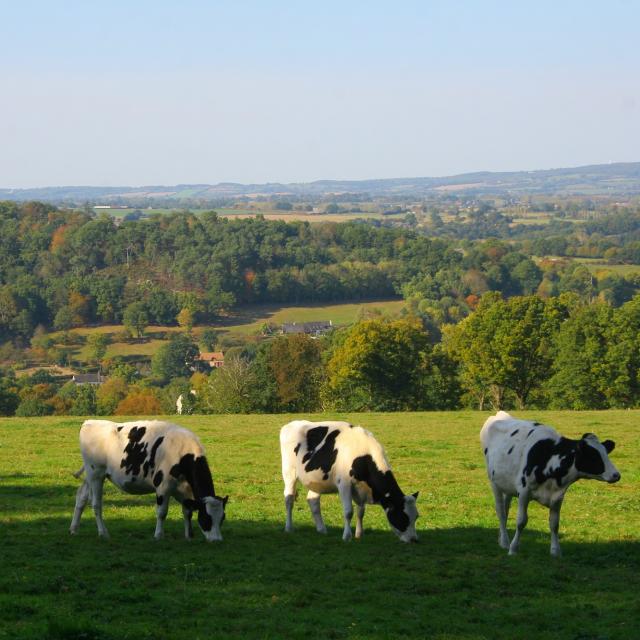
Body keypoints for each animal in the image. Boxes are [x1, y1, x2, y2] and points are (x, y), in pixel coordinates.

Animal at [70, 420, 228, 542]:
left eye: (222, 518)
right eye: (206, 518)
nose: (217, 540)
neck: (184, 454)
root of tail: (89, 422)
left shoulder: (186, 490)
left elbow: (187, 511)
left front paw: (189, 535)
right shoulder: (163, 486)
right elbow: (162, 512)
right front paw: (158, 535)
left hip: (91, 476)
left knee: (81, 497)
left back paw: (73, 529)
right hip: (96, 474)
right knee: (96, 504)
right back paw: (103, 533)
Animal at [280, 420, 419, 542]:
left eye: (416, 516)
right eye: (402, 517)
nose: (414, 540)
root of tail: (291, 424)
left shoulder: (360, 489)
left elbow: (361, 512)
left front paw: (359, 534)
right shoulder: (344, 484)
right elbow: (348, 512)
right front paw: (347, 536)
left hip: (317, 480)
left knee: (312, 500)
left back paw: (322, 529)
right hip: (289, 473)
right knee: (289, 499)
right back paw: (289, 528)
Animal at [480, 411, 620, 556]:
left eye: (606, 453)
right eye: (593, 456)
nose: (616, 475)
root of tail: (500, 414)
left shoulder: (557, 496)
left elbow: (554, 524)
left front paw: (555, 551)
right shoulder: (524, 492)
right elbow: (521, 521)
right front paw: (513, 549)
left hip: (507, 484)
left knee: (506, 509)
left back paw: (501, 539)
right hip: (494, 482)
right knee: (501, 511)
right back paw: (505, 542)